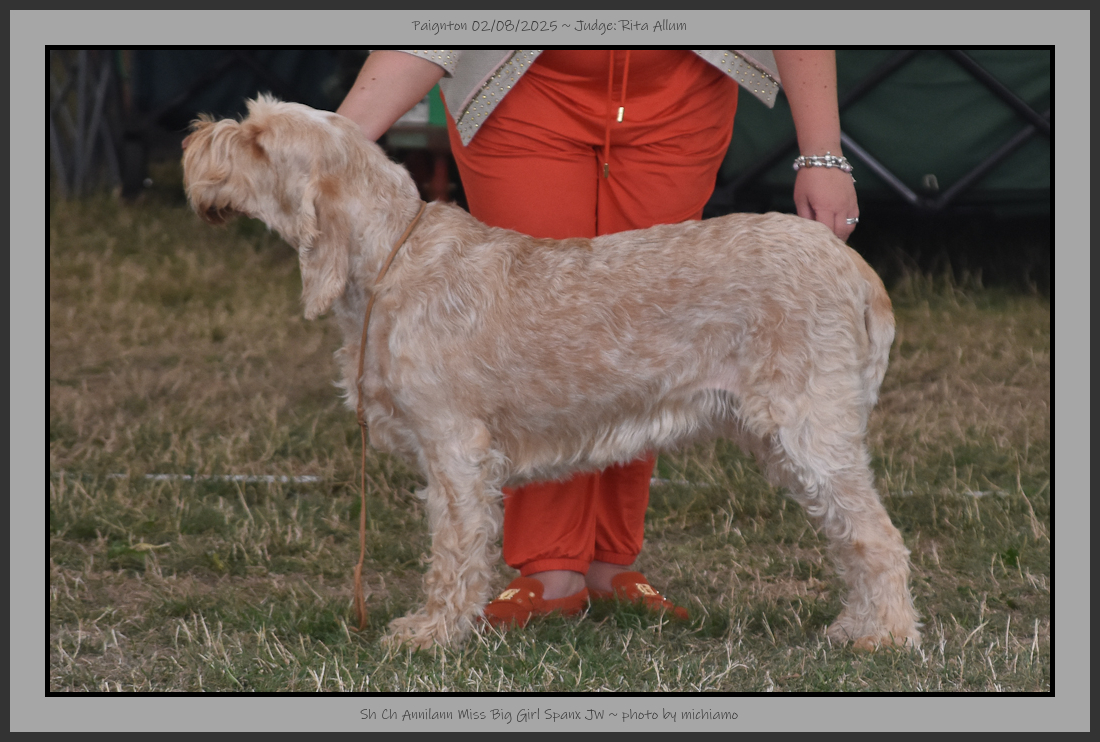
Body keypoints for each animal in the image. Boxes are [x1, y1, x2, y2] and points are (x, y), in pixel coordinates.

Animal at [183, 95, 920, 651]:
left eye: (257, 142)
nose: (191, 138)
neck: (392, 258)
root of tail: (852, 265)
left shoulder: (455, 448)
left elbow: (454, 551)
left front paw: (432, 634)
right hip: (786, 441)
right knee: (849, 536)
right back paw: (856, 626)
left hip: (809, 430)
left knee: (877, 536)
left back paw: (886, 637)